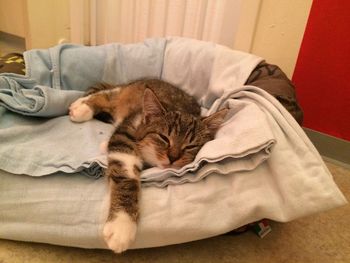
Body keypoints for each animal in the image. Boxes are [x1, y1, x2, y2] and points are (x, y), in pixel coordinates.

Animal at [68, 79, 228, 255]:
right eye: (164, 138)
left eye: (190, 146)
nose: (173, 157)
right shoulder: (127, 133)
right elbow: (126, 174)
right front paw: (122, 224)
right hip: (125, 93)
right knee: (107, 94)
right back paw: (81, 107)